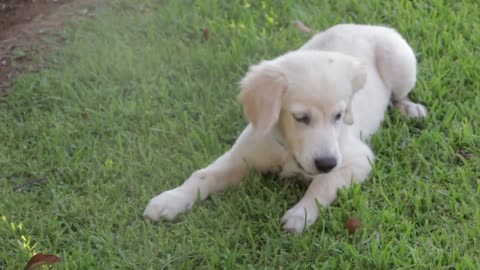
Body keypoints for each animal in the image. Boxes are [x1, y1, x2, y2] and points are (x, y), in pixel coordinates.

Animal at [143, 24, 428, 233]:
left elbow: (323, 185)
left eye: (338, 116)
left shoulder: (357, 160)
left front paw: (301, 213)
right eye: (300, 117)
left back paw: (410, 109)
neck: (288, 150)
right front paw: (170, 199)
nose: (326, 162)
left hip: (401, 64)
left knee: (399, 95)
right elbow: (202, 175)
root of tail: (364, 25)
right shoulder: (241, 155)